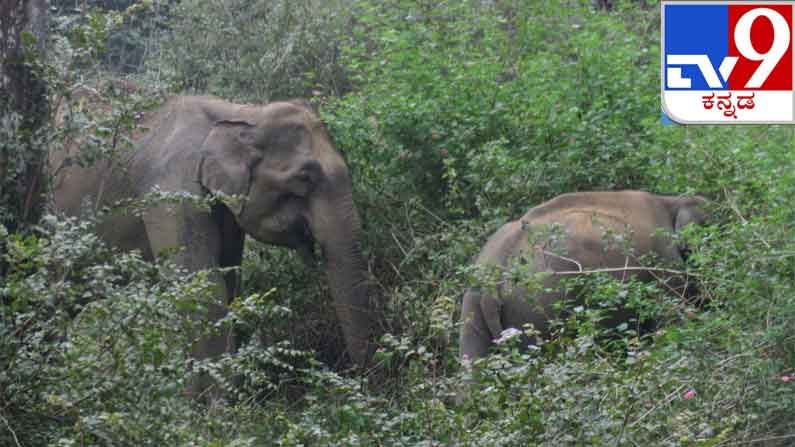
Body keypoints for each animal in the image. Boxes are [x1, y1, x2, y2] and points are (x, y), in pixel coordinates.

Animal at [49, 95, 380, 388]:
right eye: (304, 178)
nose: (363, 382)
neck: (238, 113)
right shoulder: (170, 192)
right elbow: (203, 288)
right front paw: (219, 409)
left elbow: (229, 282)